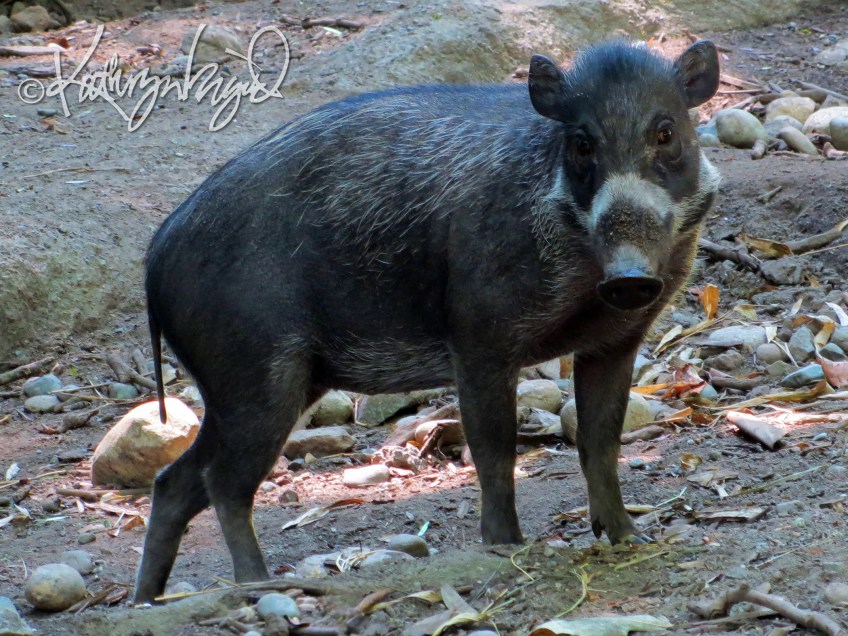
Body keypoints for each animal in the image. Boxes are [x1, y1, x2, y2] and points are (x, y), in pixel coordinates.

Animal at [135, 39, 720, 602]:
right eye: (581, 144)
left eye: (666, 131)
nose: (629, 277)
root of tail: (153, 259)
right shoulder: (480, 339)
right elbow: (493, 449)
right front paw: (506, 547)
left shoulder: (615, 341)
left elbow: (599, 442)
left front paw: (630, 538)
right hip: (255, 376)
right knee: (222, 482)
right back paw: (255, 585)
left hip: (256, 387)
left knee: (174, 481)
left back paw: (149, 601)